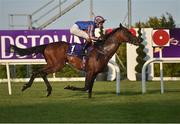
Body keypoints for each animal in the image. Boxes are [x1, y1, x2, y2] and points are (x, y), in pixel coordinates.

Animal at [10, 23, 141, 98]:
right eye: (128, 32)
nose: (138, 40)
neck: (102, 51)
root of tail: (47, 45)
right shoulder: (89, 71)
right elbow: (86, 87)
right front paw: (70, 87)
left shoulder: (95, 73)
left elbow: (90, 87)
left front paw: (90, 98)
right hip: (57, 64)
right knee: (38, 72)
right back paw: (27, 86)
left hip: (53, 64)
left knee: (40, 72)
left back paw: (46, 90)